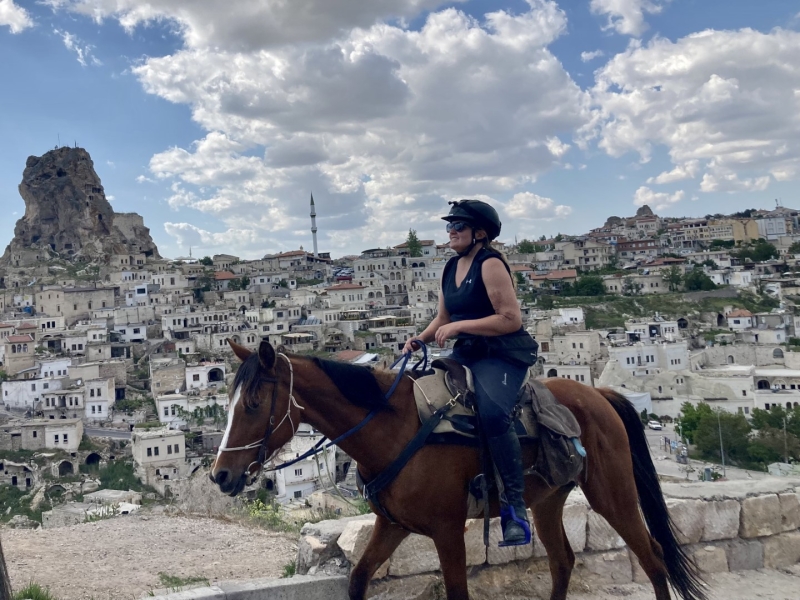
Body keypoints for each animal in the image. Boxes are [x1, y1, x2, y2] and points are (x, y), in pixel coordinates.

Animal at [209, 340, 704, 600]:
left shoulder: (448, 531)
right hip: (547, 499)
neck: (393, 428)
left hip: (612, 494)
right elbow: (358, 579)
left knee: (653, 558)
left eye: (253, 404)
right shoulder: (392, 525)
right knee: (563, 560)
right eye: (227, 403)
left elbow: (457, 592)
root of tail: (601, 395)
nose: (221, 476)